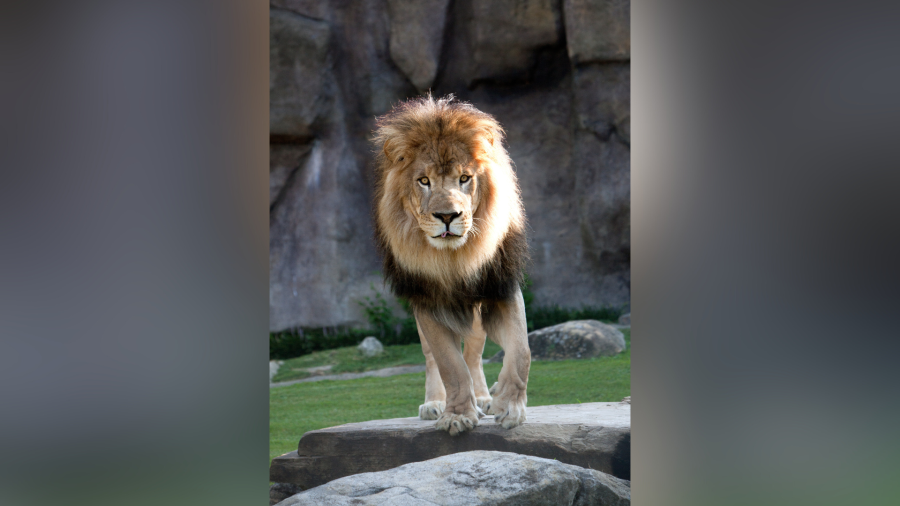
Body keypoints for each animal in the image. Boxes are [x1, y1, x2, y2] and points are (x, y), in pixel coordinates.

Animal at [370, 95, 528, 434]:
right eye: (424, 181)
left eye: (464, 178)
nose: (447, 216)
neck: (453, 258)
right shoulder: (427, 300)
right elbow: (449, 364)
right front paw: (456, 415)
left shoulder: (500, 286)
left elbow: (521, 350)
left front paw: (509, 407)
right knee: (434, 358)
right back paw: (436, 403)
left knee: (474, 352)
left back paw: (483, 398)